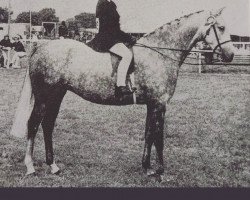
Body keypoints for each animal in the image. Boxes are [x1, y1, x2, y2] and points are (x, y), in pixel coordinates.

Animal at [11, 7, 234, 177]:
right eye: (221, 27)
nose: (230, 55)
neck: (160, 53)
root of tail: (41, 48)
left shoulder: (151, 105)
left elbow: (148, 134)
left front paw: (146, 168)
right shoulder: (159, 104)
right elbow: (159, 138)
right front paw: (160, 171)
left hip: (57, 95)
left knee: (48, 125)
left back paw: (53, 166)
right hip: (44, 96)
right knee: (33, 124)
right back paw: (30, 167)